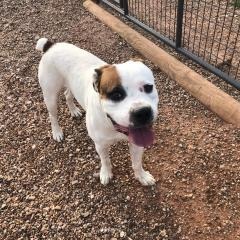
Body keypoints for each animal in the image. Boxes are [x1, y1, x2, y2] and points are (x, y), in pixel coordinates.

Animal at [35, 38, 158, 186]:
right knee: (53, 115)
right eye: (116, 95)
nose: (142, 112)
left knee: (67, 94)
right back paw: (57, 132)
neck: (112, 124)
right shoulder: (100, 145)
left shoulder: (136, 143)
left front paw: (142, 176)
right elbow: (105, 161)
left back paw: (74, 110)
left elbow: (137, 163)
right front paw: (106, 174)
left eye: (148, 87)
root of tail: (51, 45)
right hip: (50, 96)